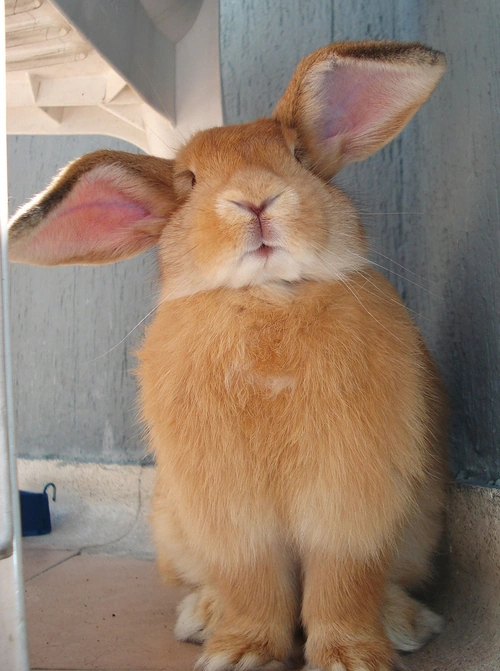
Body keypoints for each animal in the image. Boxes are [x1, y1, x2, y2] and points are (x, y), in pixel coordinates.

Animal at [9, 41, 448, 671]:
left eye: (298, 157)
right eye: (189, 181)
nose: (255, 199)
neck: (266, 297)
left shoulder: (351, 507)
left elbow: (343, 585)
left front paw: (351, 658)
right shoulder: (233, 518)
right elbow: (253, 584)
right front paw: (239, 654)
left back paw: (404, 623)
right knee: (208, 583)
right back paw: (203, 617)